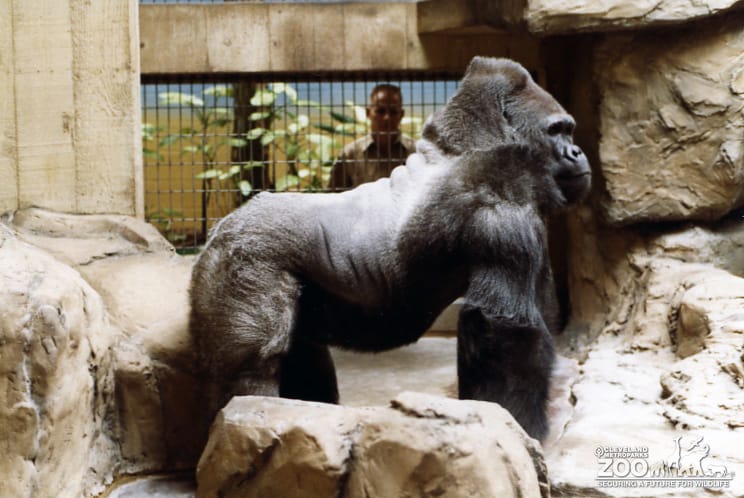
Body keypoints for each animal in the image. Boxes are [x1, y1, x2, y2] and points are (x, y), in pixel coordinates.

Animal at [189, 57, 591, 441]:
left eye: (569, 130)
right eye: (557, 130)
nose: (577, 152)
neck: (467, 144)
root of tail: (217, 232)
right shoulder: (500, 194)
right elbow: (503, 328)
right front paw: (518, 427)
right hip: (243, 261)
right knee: (252, 369)